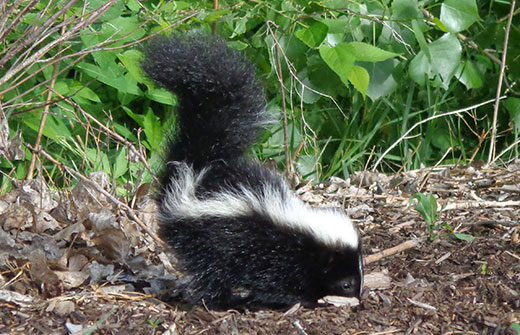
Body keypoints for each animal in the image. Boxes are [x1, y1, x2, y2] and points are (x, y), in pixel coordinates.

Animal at [142, 33, 362, 310]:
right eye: (346, 283)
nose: (358, 298)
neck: (302, 228)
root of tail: (195, 171)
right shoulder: (269, 250)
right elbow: (274, 279)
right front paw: (299, 298)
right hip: (206, 239)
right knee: (212, 271)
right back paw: (225, 301)